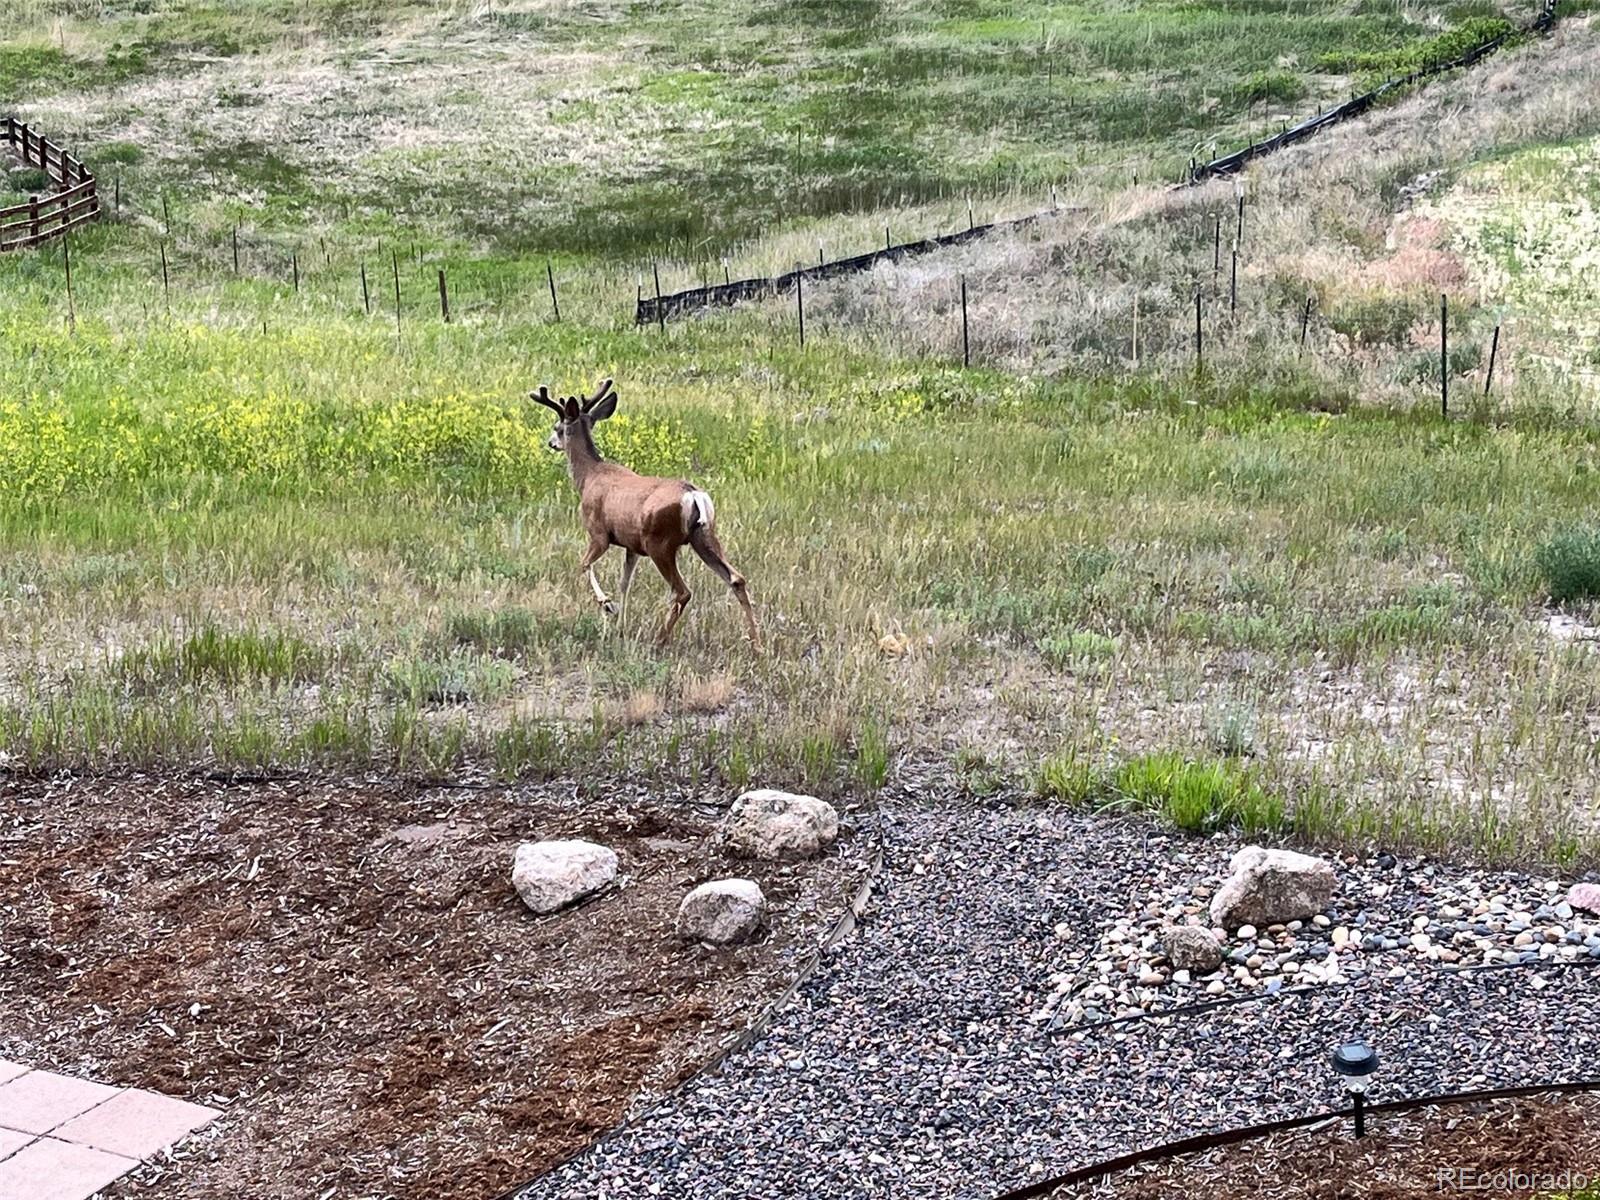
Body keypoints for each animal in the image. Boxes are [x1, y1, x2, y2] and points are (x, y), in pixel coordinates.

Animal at [534, 380, 764, 652]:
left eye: (557, 428)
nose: (551, 443)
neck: (589, 475)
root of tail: (693, 495)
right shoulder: (631, 545)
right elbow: (625, 583)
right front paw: (620, 625)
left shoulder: (598, 533)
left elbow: (584, 565)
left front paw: (607, 605)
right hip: (704, 536)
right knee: (736, 578)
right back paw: (757, 644)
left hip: (660, 542)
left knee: (682, 591)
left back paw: (659, 639)